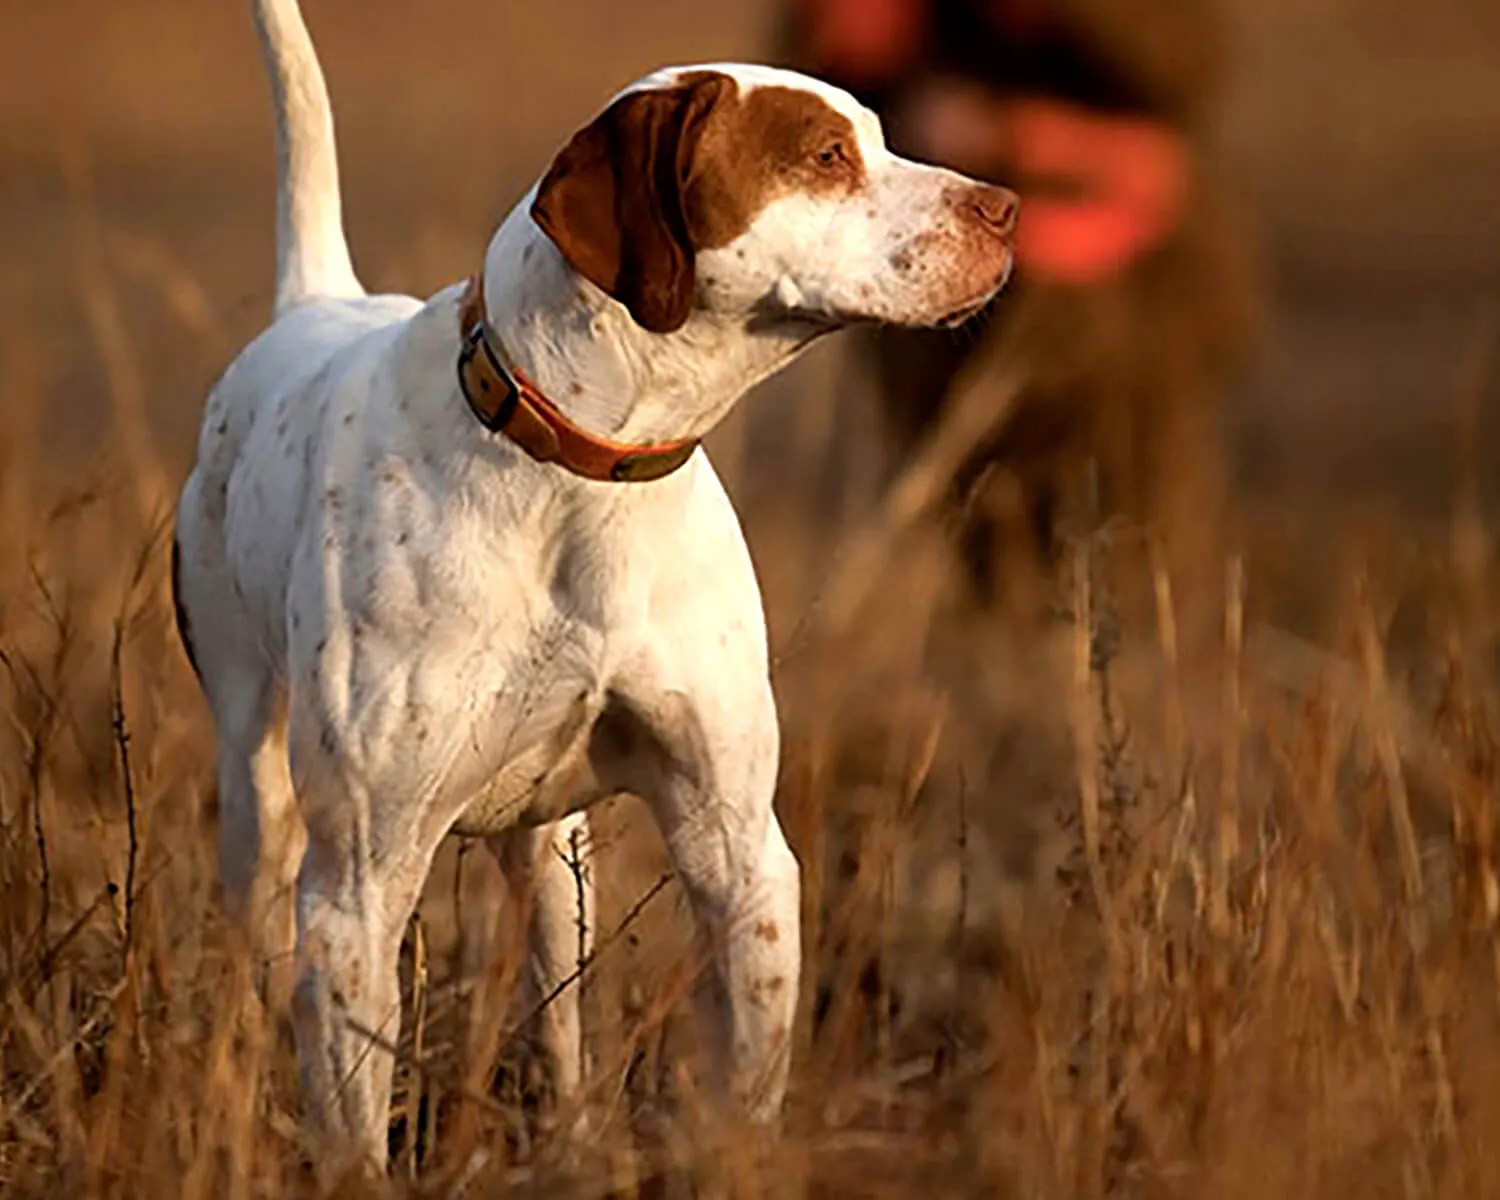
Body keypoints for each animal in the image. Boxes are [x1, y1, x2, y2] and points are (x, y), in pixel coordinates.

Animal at [172, 0, 1020, 1170]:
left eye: (877, 135)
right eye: (823, 155)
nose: (1009, 209)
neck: (580, 478)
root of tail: (317, 302)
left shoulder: (741, 853)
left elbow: (745, 1083)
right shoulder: (356, 891)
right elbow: (352, 1128)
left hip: (555, 864)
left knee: (557, 1013)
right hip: (261, 807)